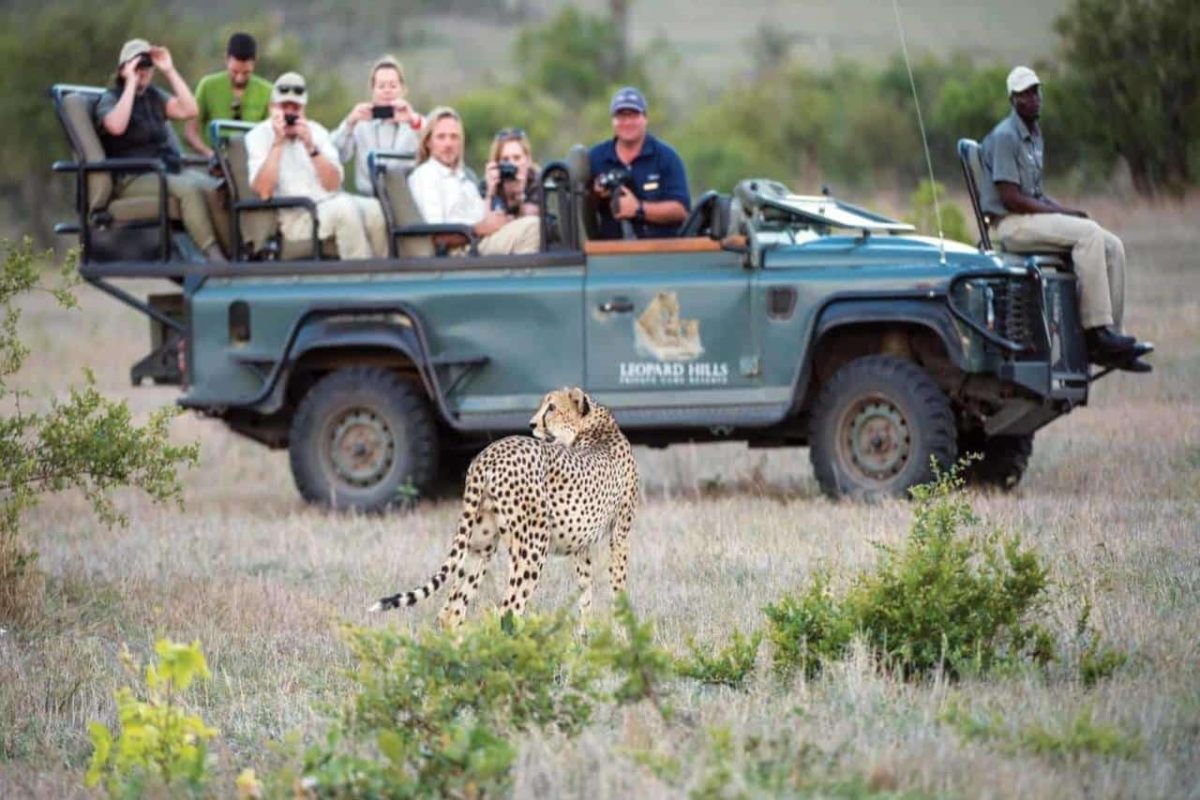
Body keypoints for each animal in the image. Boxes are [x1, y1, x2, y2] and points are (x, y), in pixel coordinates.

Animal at [370, 386, 640, 628]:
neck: (595, 427)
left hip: (481, 543)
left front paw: (584, 641)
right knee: (508, 610)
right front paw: (624, 637)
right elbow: (618, 585)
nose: (532, 424)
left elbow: (585, 593)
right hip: (533, 545)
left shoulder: (582, 545)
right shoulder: (620, 533)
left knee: (452, 611)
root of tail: (488, 453)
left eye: (552, 407)